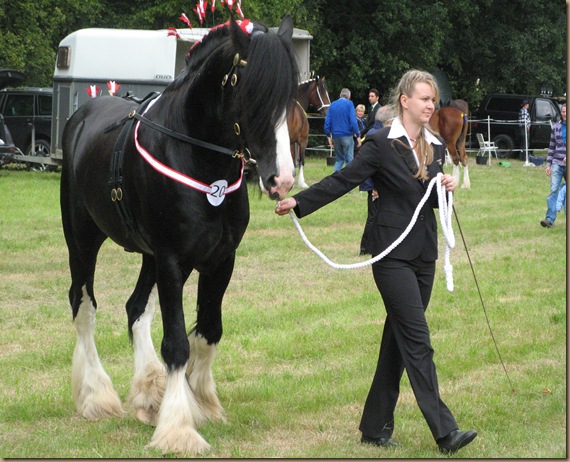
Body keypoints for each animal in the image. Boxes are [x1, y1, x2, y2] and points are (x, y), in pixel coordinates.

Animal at [61, 14, 298, 454]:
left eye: (293, 94)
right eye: (252, 90)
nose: (282, 179)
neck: (198, 161)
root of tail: (82, 116)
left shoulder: (219, 261)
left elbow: (207, 332)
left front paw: (201, 402)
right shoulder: (172, 261)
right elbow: (176, 343)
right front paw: (178, 428)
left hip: (149, 256)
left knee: (135, 308)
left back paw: (147, 392)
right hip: (83, 241)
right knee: (83, 306)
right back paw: (96, 396)